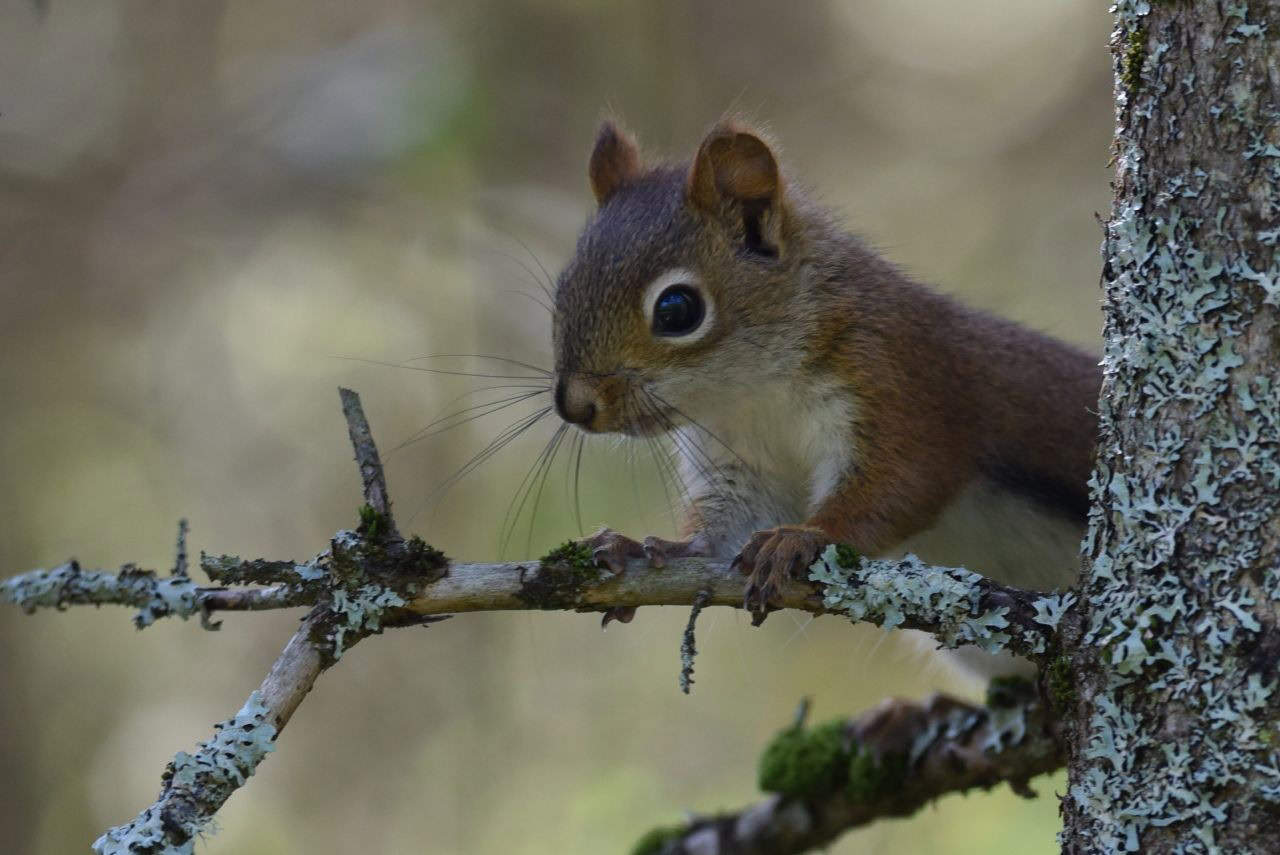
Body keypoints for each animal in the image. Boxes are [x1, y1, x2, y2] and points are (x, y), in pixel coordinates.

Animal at [545, 120, 1095, 639]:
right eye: (563, 288)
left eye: (677, 310)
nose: (575, 405)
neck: (752, 394)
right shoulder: (738, 462)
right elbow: (720, 532)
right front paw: (645, 548)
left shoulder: (898, 381)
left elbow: (903, 482)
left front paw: (804, 537)